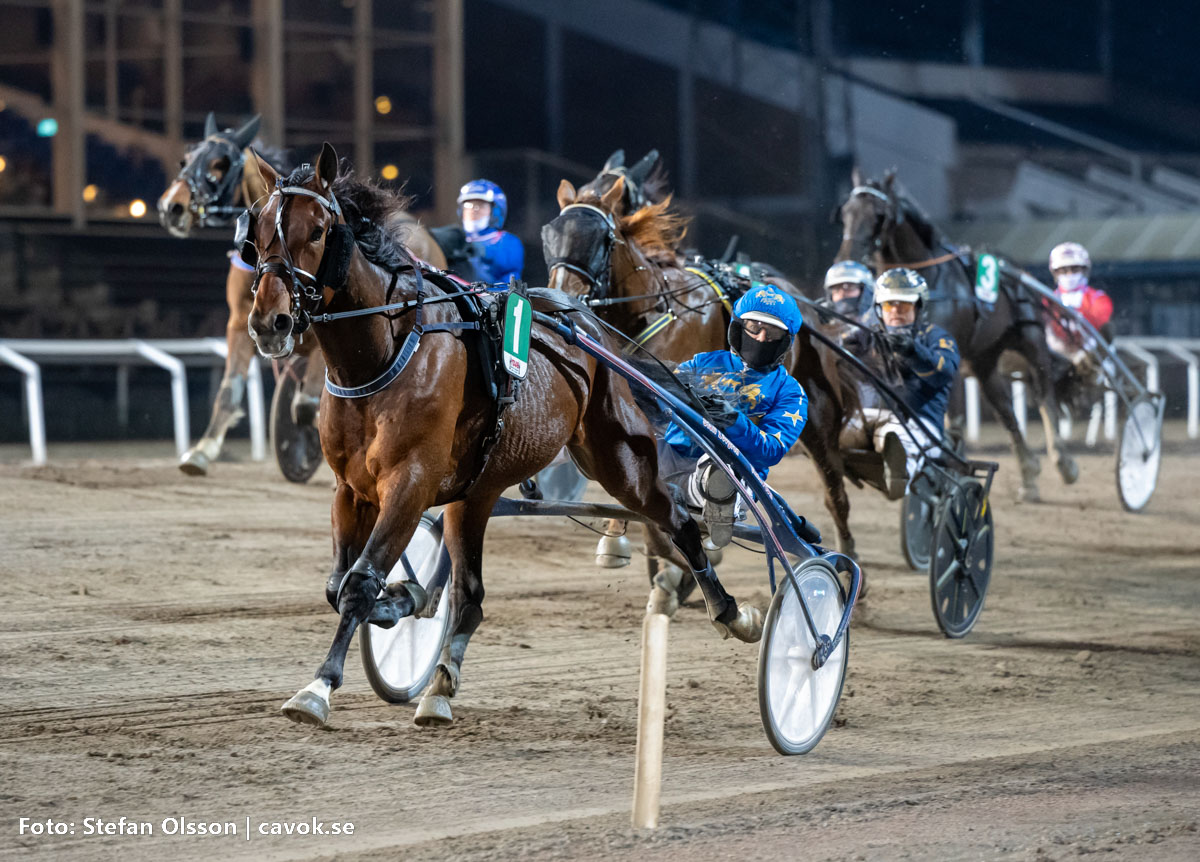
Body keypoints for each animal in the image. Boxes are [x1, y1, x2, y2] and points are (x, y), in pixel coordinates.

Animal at [157, 112, 447, 476]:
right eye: (186, 159)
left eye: (219, 163)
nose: (173, 206)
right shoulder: (242, 323)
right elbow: (229, 390)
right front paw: (201, 451)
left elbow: (308, 405)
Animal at [244, 143, 763, 728]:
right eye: (256, 230)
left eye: (317, 231)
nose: (270, 322)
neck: (384, 353)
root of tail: (584, 320)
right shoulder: (352, 490)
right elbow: (341, 585)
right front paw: (402, 600)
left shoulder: (410, 483)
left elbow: (357, 584)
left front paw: (318, 687)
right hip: (476, 493)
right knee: (470, 596)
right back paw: (438, 687)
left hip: (620, 459)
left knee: (677, 521)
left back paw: (730, 610)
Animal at [543, 174, 861, 575]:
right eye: (550, 235)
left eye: (602, 239)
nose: (560, 296)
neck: (649, 310)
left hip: (817, 411)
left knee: (834, 489)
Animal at [835, 168, 1078, 502]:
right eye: (846, 212)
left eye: (879, 215)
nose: (847, 258)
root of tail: (1014, 270)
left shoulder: (950, 355)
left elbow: (955, 421)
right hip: (983, 360)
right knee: (1007, 413)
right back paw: (1028, 477)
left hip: (1030, 340)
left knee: (1045, 397)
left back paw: (1063, 462)